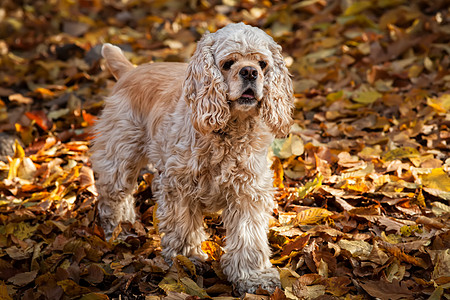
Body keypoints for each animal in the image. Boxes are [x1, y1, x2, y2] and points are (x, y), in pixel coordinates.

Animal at [92, 22, 296, 292]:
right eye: (228, 63)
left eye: (262, 64)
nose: (250, 72)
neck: (230, 131)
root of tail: (130, 70)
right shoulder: (179, 186)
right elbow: (183, 228)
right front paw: (186, 260)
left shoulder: (248, 191)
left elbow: (248, 237)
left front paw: (254, 277)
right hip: (120, 155)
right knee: (113, 199)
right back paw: (120, 234)